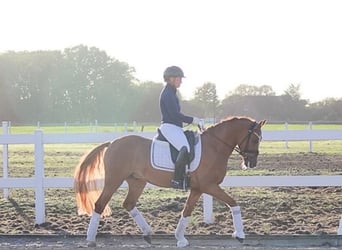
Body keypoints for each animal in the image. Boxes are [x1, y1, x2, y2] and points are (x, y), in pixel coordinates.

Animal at [74, 116, 268, 247]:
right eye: (255, 138)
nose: (252, 163)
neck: (214, 146)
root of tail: (112, 142)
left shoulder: (198, 188)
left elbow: (186, 211)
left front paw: (180, 239)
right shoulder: (209, 186)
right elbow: (233, 203)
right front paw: (240, 234)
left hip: (137, 181)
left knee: (128, 203)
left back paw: (148, 234)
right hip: (114, 180)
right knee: (100, 204)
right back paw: (90, 240)